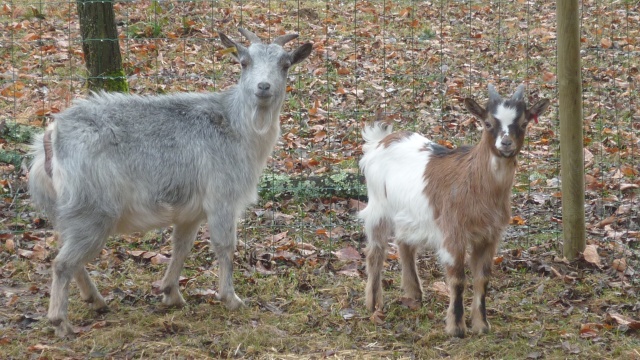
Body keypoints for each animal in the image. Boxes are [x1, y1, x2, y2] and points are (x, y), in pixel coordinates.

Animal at [28, 28, 314, 338]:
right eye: (244, 62)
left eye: (285, 64)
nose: (263, 86)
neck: (238, 130)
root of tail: (51, 137)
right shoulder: (222, 196)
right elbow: (225, 245)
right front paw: (231, 298)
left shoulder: (191, 211)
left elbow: (181, 246)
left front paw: (171, 294)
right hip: (93, 207)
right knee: (62, 263)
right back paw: (61, 321)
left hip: (63, 209)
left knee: (66, 251)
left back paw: (96, 300)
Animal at [360, 84, 552, 338]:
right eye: (488, 123)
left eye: (523, 123)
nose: (506, 143)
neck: (476, 184)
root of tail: (381, 140)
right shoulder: (454, 232)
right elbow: (458, 278)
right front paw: (457, 328)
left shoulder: (489, 235)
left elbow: (482, 278)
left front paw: (481, 325)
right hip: (378, 206)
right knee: (375, 251)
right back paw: (374, 303)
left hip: (410, 214)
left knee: (405, 244)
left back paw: (414, 294)